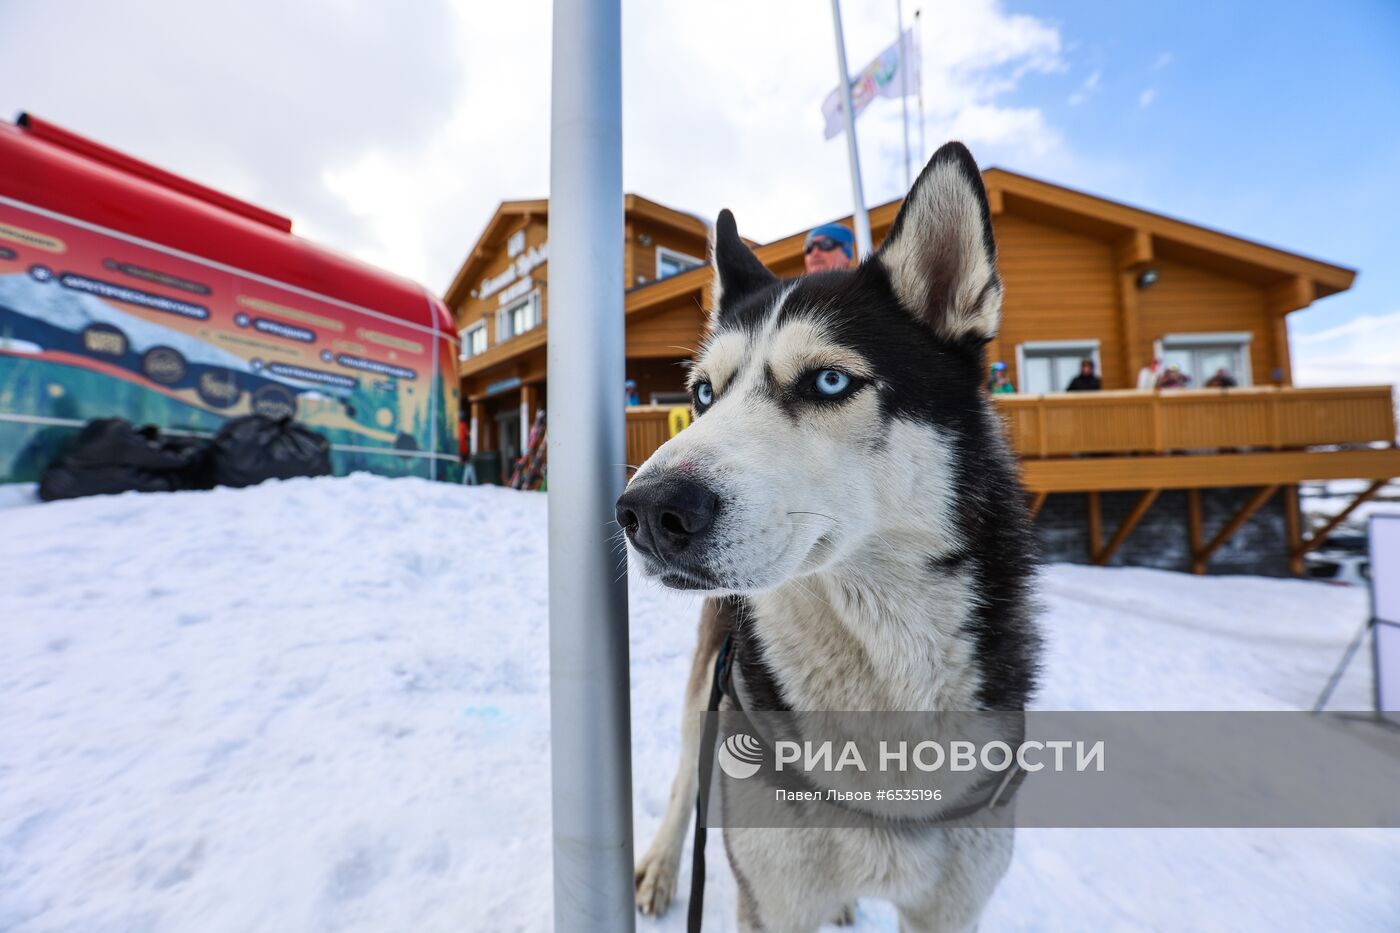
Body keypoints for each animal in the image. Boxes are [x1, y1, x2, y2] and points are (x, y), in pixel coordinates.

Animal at [621, 140, 1041, 930]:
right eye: (702, 394)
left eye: (827, 383)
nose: (647, 511)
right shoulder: (772, 898)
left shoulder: (952, 907)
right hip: (707, 690)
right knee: (686, 774)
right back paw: (661, 864)